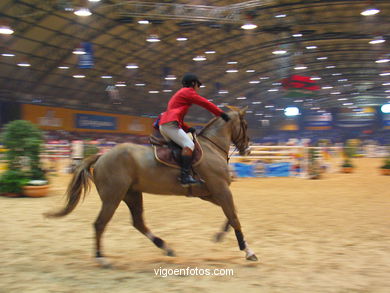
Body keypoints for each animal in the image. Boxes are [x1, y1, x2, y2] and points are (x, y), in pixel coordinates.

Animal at [45, 106, 258, 266]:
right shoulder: (221, 190)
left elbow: (231, 215)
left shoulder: (210, 193)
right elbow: (234, 217)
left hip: (131, 194)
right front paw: (248, 251)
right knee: (100, 224)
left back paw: (166, 247)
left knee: (138, 222)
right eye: (246, 125)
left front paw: (220, 236)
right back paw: (101, 258)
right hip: (112, 197)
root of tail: (101, 156)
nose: (248, 150)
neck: (212, 147)